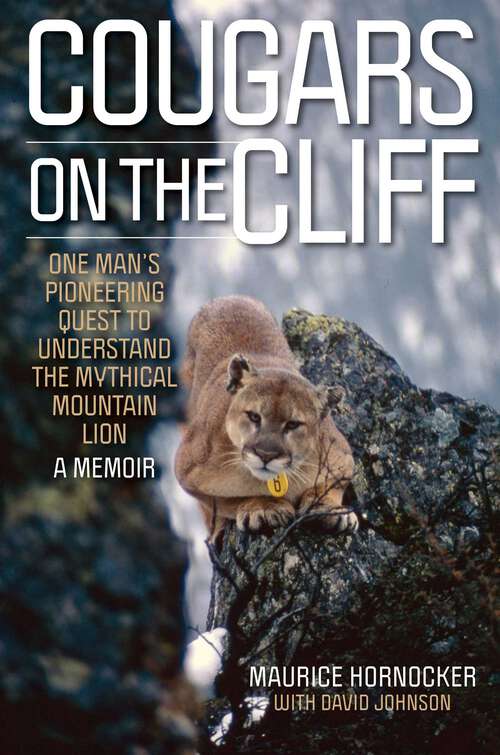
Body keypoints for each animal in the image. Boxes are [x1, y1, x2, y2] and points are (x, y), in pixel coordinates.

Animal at [175, 295, 358, 540]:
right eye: (254, 416)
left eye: (293, 424)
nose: (265, 455)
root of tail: (229, 298)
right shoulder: (186, 470)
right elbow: (226, 500)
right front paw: (263, 507)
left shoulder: (343, 458)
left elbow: (331, 486)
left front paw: (333, 510)